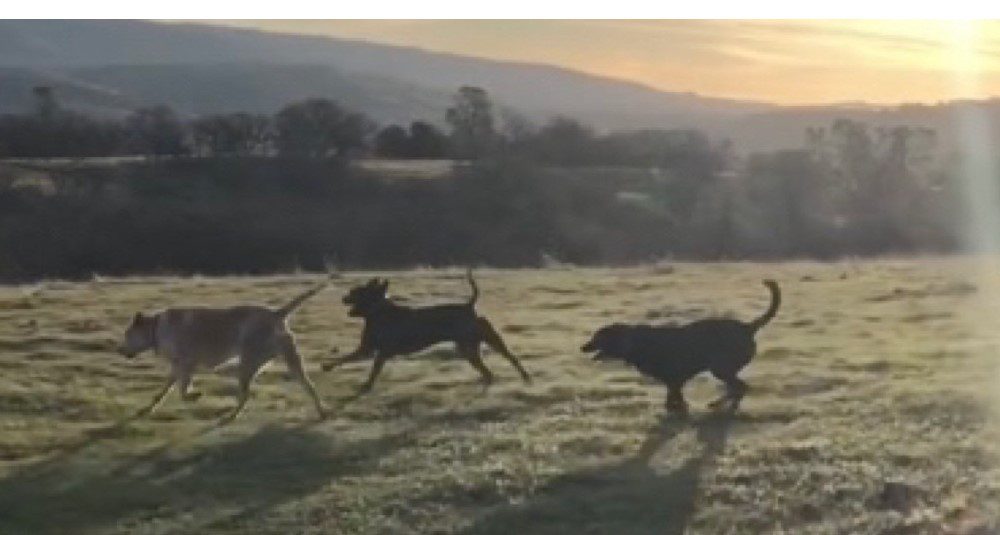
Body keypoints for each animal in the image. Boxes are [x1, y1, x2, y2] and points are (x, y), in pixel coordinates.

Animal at [116, 278, 328, 426]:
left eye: (127, 334)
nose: (118, 350)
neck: (156, 329)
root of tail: (277, 313)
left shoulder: (186, 365)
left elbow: (183, 391)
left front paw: (194, 395)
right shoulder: (177, 368)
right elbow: (163, 392)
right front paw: (147, 409)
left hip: (247, 364)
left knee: (245, 395)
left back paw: (230, 416)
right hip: (285, 362)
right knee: (309, 387)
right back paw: (321, 412)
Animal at [326, 272, 532, 394]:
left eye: (354, 292)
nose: (343, 297)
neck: (378, 311)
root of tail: (468, 306)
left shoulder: (377, 352)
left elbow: (367, 367)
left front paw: (365, 385)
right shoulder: (366, 349)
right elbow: (346, 358)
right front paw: (328, 366)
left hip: (479, 344)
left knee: (502, 362)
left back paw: (521, 377)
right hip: (475, 345)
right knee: (494, 367)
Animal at [580, 282, 780, 416]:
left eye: (597, 338)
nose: (582, 347)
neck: (636, 342)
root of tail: (748, 327)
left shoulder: (674, 378)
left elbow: (673, 400)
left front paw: (676, 411)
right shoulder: (675, 381)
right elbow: (675, 398)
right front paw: (678, 409)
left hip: (720, 368)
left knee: (741, 387)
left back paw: (718, 404)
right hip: (724, 370)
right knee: (737, 389)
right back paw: (721, 403)